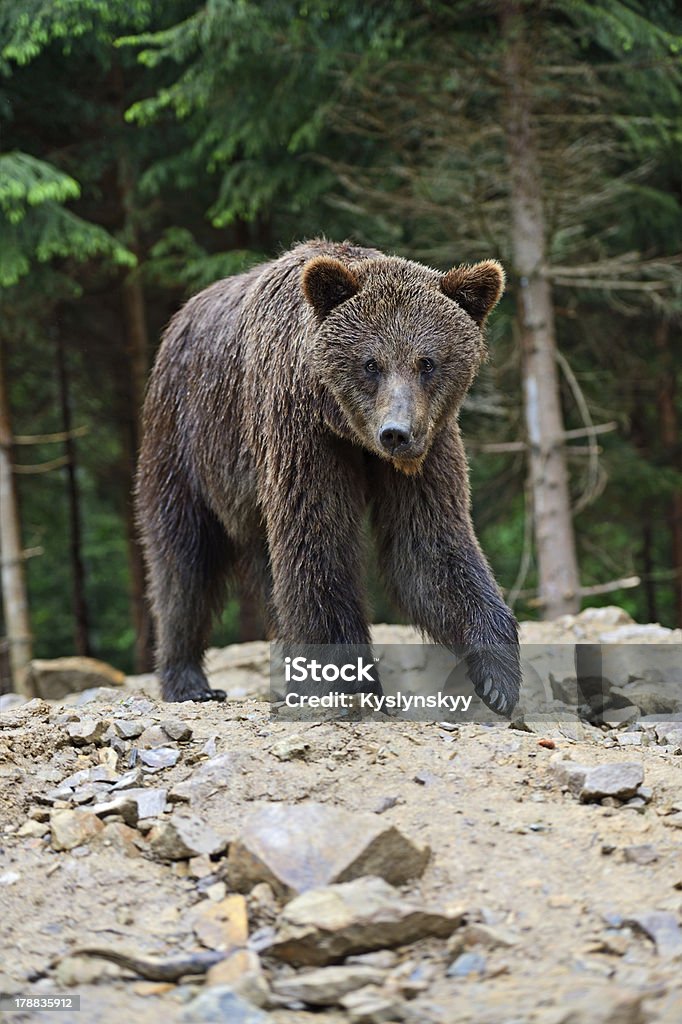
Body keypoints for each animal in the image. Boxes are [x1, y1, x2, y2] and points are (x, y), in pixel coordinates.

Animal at [135, 241, 518, 712]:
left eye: (427, 362)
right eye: (371, 363)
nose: (396, 432)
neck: (350, 430)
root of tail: (179, 319)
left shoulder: (429, 447)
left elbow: (428, 545)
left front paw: (498, 677)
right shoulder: (301, 431)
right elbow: (318, 543)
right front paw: (349, 682)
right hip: (185, 437)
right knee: (182, 561)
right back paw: (189, 681)